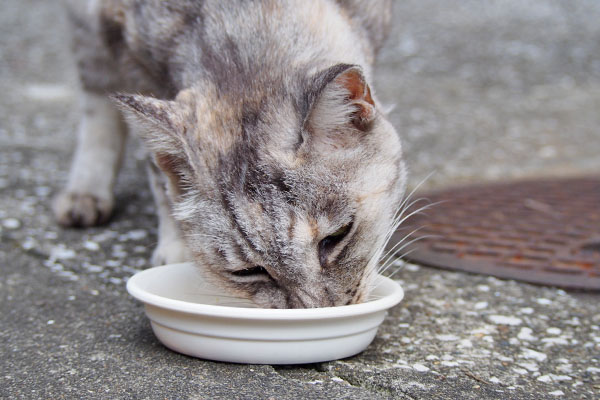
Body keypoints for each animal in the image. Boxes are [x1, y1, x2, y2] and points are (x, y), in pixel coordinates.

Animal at [55, 0, 408, 310]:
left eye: (337, 236)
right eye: (249, 272)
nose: (318, 313)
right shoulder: (131, 56)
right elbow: (158, 175)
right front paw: (175, 246)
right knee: (96, 96)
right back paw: (85, 192)